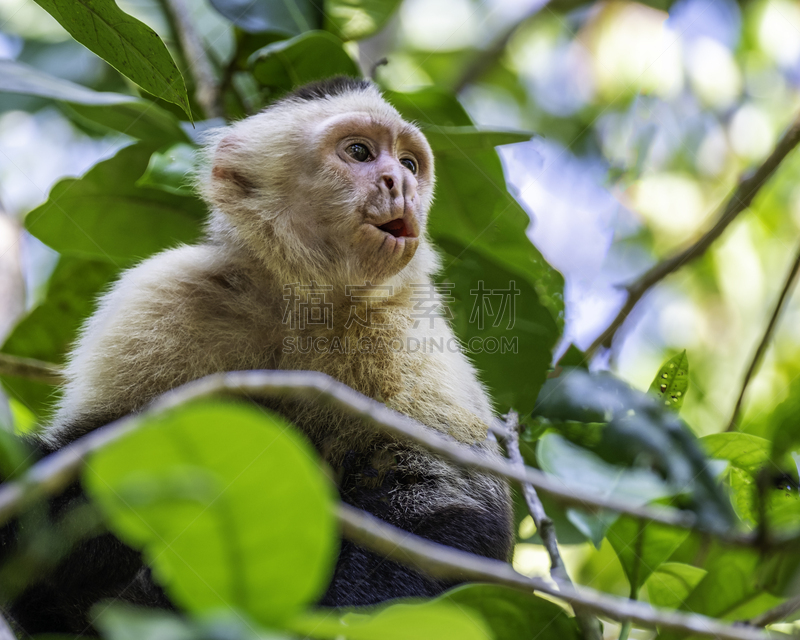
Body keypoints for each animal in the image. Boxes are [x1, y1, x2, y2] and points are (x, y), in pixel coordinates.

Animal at [0, 76, 512, 636]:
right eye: (359, 152)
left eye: (410, 163)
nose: (399, 182)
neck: (302, 300)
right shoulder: (162, 293)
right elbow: (93, 459)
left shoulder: (409, 328)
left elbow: (452, 507)